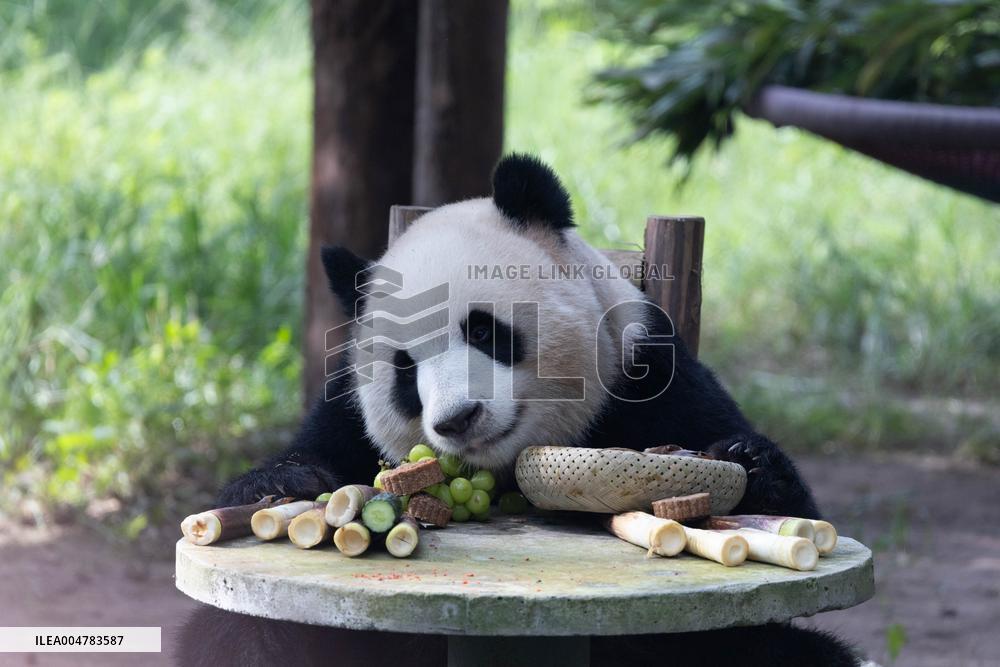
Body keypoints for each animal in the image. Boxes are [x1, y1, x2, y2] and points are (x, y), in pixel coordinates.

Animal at [179, 155, 858, 667]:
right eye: (405, 369)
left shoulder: (649, 374)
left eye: (483, 330)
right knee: (234, 634)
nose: (457, 420)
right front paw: (281, 482)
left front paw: (748, 461)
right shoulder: (347, 411)